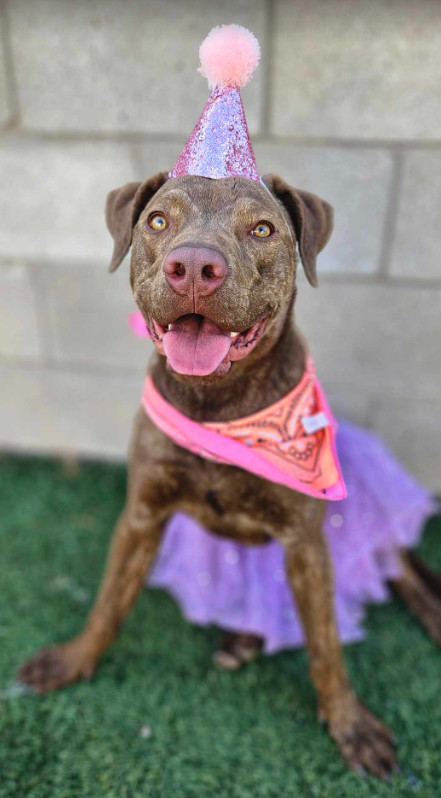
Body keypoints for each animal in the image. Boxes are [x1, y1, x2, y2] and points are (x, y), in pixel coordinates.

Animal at [18, 172, 440, 780]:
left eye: (262, 229)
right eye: (158, 220)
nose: (194, 266)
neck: (216, 401)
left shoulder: (306, 542)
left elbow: (326, 647)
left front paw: (349, 725)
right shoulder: (142, 515)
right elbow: (108, 602)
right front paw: (73, 660)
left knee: (400, 569)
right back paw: (240, 638)